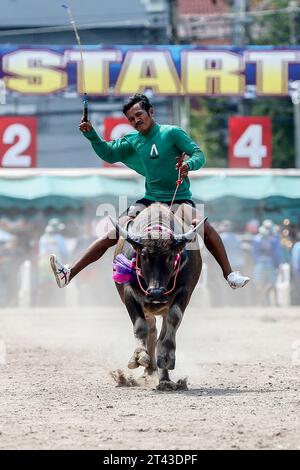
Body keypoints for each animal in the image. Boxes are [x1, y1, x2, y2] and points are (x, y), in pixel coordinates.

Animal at [111, 202, 205, 390]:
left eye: (170, 256)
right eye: (143, 255)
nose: (156, 293)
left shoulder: (184, 291)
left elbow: (173, 320)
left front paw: (167, 356)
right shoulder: (129, 293)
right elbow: (140, 327)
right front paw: (139, 356)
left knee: (161, 333)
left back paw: (164, 379)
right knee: (151, 331)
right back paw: (149, 370)